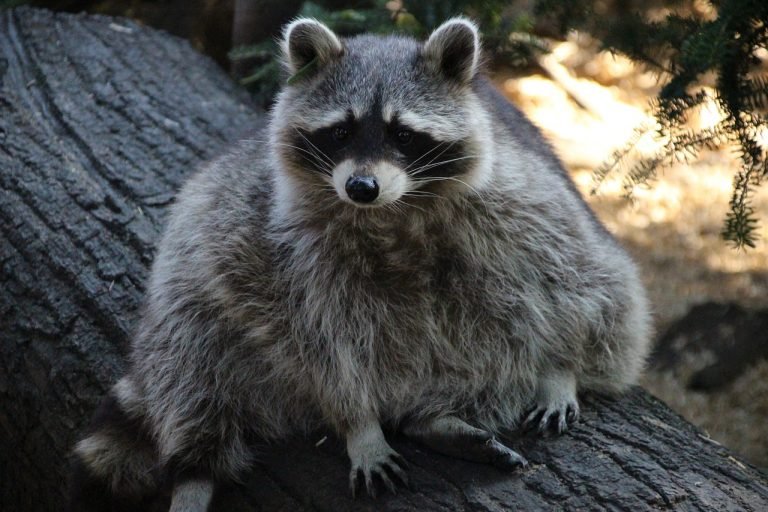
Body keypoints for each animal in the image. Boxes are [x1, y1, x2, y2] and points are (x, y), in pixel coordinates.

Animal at [69, 17, 652, 512]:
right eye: (341, 132)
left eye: (403, 134)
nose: (361, 187)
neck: (392, 212)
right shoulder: (293, 251)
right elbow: (321, 340)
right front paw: (360, 427)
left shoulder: (521, 198)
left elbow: (575, 279)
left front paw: (560, 367)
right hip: (200, 271)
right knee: (191, 355)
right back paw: (197, 473)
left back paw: (438, 416)